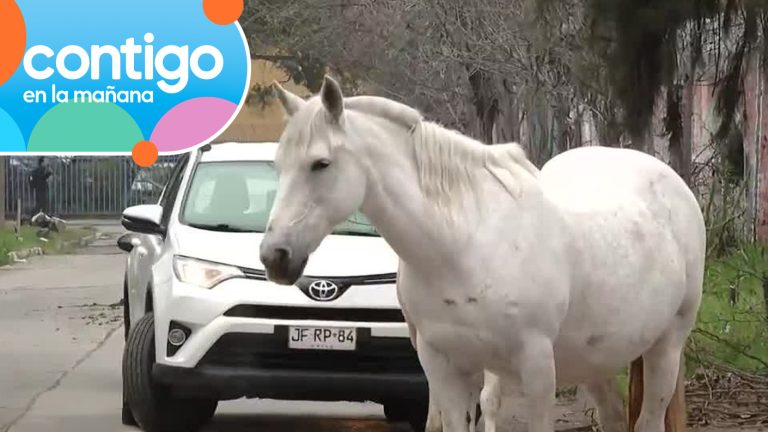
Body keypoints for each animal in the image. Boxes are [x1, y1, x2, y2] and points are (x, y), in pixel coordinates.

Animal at [259, 75, 704, 432]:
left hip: (666, 347)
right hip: (594, 358)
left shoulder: (536, 367)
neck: (462, 246)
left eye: (321, 164)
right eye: (277, 166)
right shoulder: (443, 366)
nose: (274, 256)